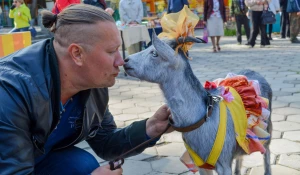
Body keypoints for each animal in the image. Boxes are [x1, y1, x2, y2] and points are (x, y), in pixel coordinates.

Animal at [123, 32, 274, 175]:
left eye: (154, 53)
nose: (125, 60)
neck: (203, 119)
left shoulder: (224, 164)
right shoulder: (201, 164)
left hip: (267, 129)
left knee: (266, 151)